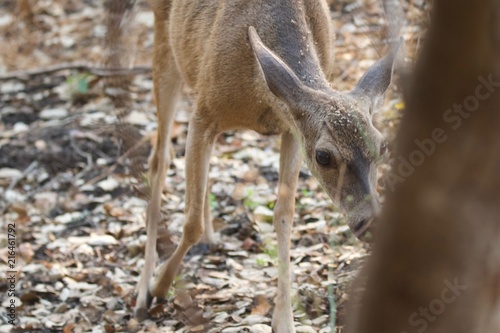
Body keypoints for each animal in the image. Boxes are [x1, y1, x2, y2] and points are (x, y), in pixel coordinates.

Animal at [136, 0, 398, 330]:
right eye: (324, 156)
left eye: (382, 146)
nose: (372, 223)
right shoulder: (204, 113)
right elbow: (191, 222)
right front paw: (159, 285)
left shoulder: (291, 130)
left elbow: (284, 215)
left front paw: (284, 320)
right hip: (164, 43)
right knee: (159, 158)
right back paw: (142, 293)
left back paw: (210, 238)